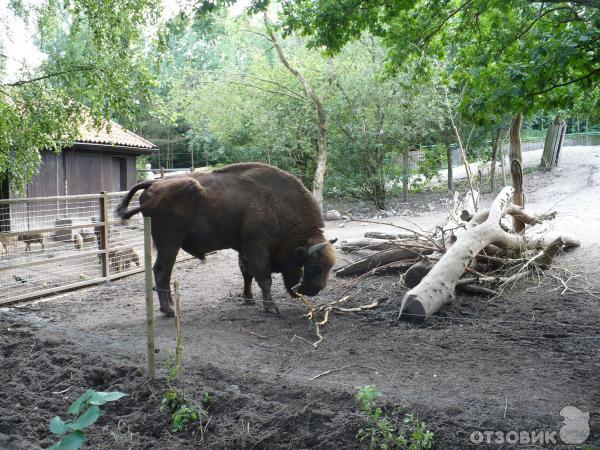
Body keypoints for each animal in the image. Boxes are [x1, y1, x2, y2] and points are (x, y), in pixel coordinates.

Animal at [115, 163, 336, 316]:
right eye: (315, 267)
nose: (314, 290)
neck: (276, 206)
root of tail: (155, 183)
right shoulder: (256, 248)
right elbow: (264, 278)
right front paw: (271, 308)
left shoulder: (244, 249)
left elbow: (247, 274)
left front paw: (249, 299)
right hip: (169, 242)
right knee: (161, 270)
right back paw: (169, 310)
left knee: (165, 272)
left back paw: (169, 307)